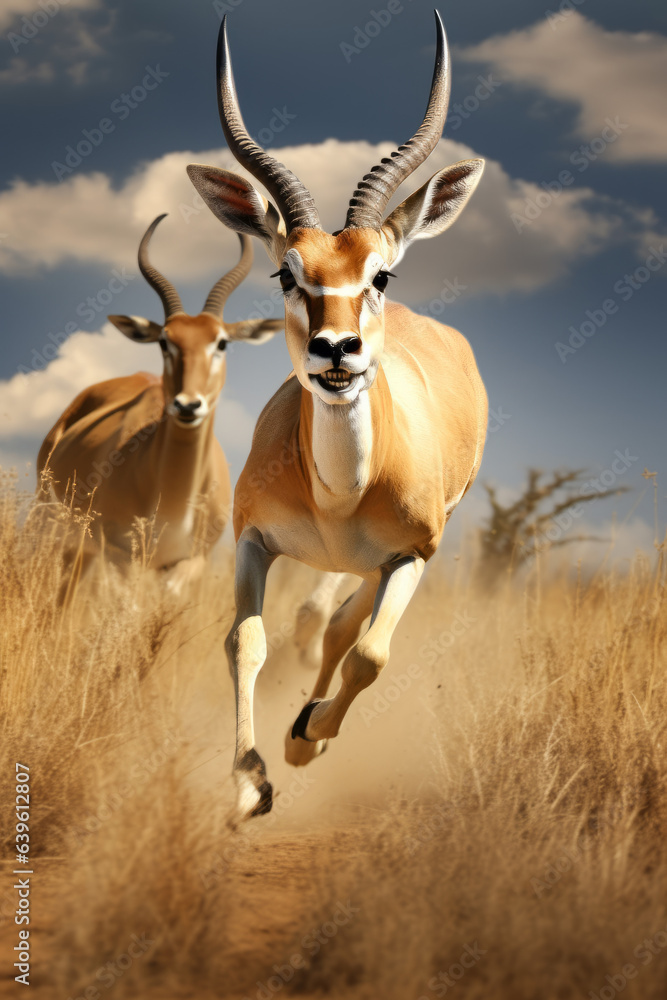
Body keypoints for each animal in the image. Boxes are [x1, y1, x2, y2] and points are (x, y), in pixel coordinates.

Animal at [38, 214, 282, 593]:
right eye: (165, 341)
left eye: (221, 342)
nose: (187, 405)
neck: (173, 502)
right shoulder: (121, 559)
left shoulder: (188, 563)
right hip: (60, 533)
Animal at [188, 11, 488, 820]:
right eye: (286, 273)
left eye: (380, 273)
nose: (336, 350)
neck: (338, 496)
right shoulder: (253, 539)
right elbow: (244, 643)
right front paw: (249, 784)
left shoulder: (412, 554)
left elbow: (371, 654)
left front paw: (302, 739)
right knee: (322, 623)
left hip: (386, 562)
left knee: (345, 627)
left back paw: (308, 729)